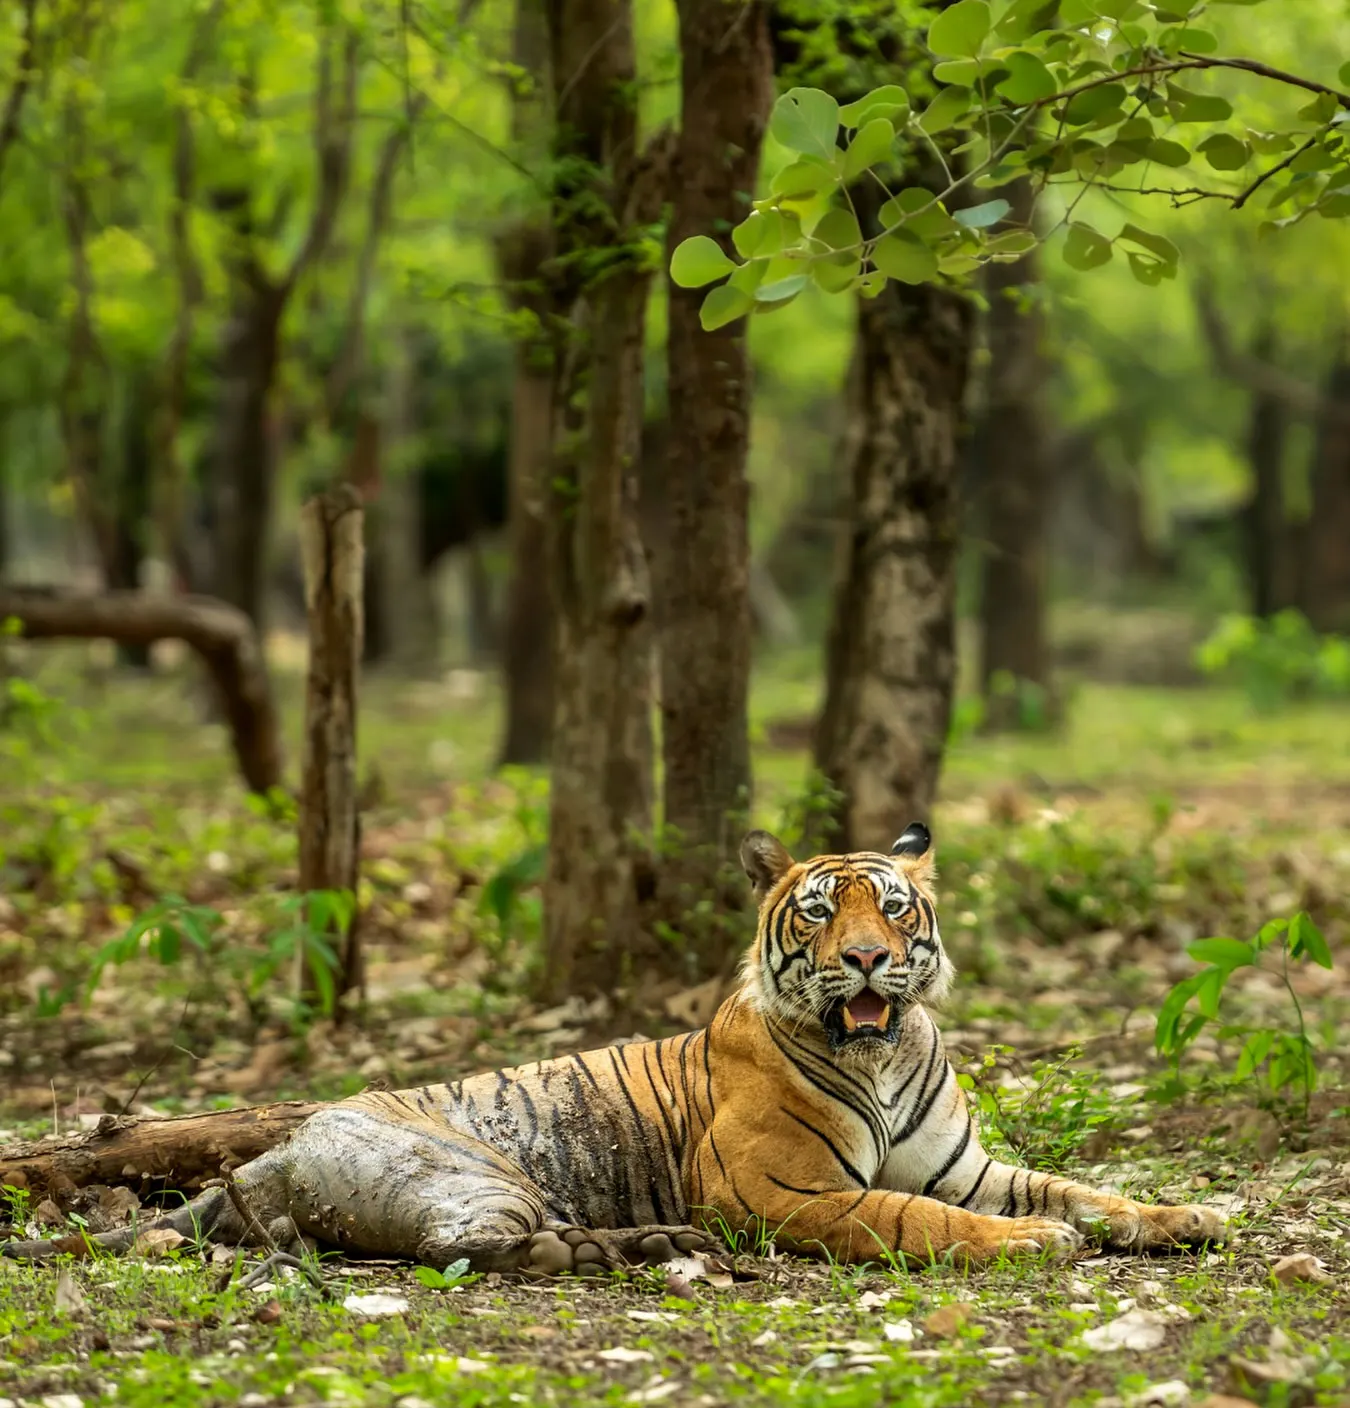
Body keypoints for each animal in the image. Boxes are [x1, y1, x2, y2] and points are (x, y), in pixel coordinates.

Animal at [3, 823, 1226, 1273]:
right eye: (820, 913)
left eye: (891, 905)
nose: (872, 960)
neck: (879, 1054)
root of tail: (281, 1145)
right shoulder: (785, 1192)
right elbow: (911, 1217)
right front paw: (1031, 1247)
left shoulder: (972, 1165)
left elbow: (1081, 1187)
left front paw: (1189, 1215)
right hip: (470, 1170)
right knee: (472, 1249)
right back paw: (616, 1250)